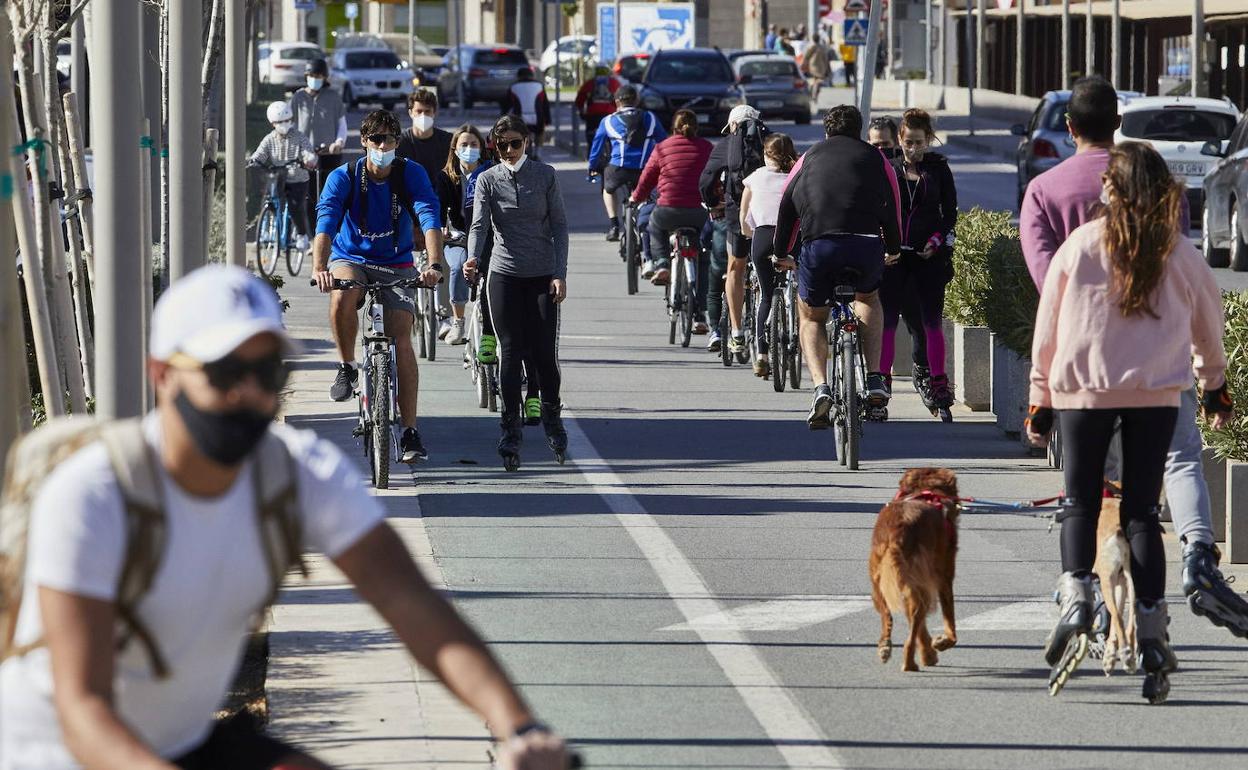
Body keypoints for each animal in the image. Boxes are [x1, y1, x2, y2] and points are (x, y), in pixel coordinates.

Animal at [873, 464, 958, 668]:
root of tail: (896, 531)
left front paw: (928, 653)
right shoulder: (943, 578)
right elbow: (949, 621)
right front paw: (941, 644)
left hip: (880, 581)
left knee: (888, 615)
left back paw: (885, 647)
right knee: (916, 620)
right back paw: (909, 662)